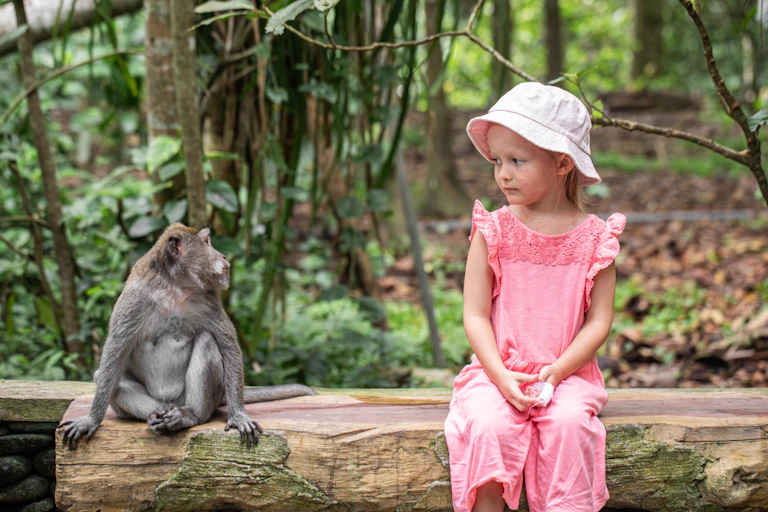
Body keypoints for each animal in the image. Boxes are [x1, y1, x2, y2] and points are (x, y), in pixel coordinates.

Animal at [60, 223, 316, 449]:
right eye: (207, 242)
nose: (223, 256)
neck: (173, 286)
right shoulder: (134, 298)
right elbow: (115, 351)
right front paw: (91, 419)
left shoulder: (208, 298)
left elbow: (228, 346)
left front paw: (238, 416)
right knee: (107, 377)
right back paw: (158, 414)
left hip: (202, 395)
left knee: (206, 341)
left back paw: (189, 416)